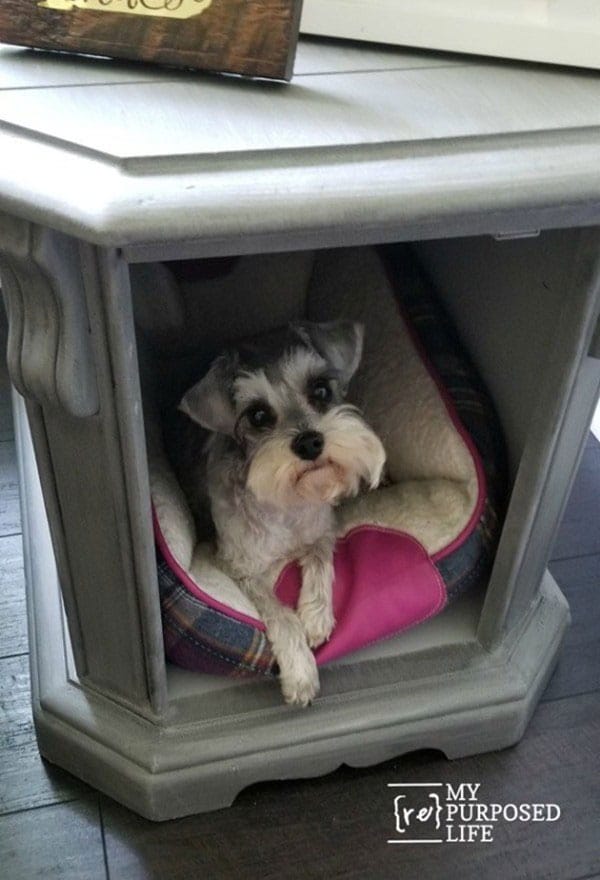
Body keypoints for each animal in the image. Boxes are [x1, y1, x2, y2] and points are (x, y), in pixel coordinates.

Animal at [176, 320, 386, 704]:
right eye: (258, 415)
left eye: (321, 389)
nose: (309, 442)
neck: (290, 505)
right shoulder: (241, 567)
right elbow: (280, 613)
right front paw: (300, 672)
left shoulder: (321, 530)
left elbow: (320, 561)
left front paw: (316, 618)